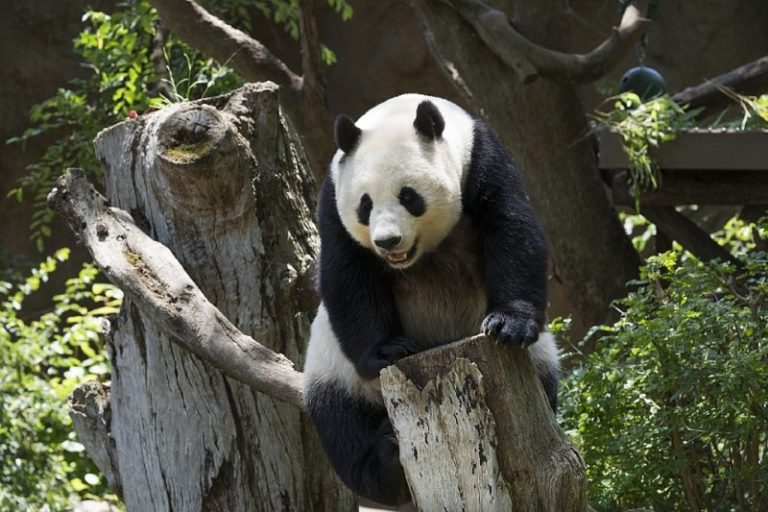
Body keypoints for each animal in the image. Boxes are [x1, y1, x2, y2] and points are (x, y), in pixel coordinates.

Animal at [302, 94, 559, 506]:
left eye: (409, 197)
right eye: (364, 205)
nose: (387, 241)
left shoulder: (481, 158)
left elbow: (511, 227)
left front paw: (508, 324)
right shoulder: (332, 195)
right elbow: (347, 272)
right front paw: (390, 350)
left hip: (540, 362)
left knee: (546, 380)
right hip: (334, 371)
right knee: (344, 427)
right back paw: (387, 463)